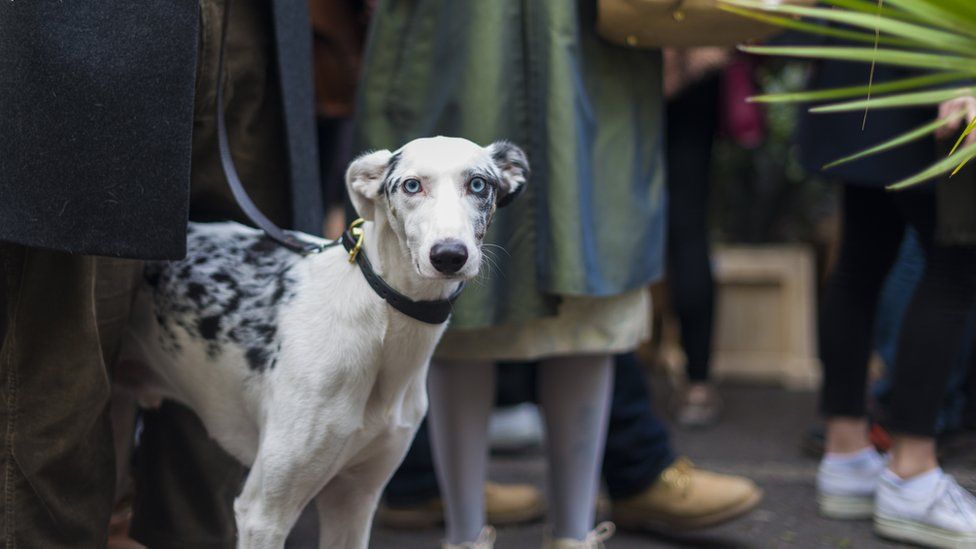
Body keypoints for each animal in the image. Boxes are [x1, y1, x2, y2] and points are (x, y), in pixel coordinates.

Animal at [118, 136, 528, 548]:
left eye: (478, 184)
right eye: (412, 185)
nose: (448, 255)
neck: (382, 329)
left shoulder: (354, 499)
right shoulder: (263, 514)